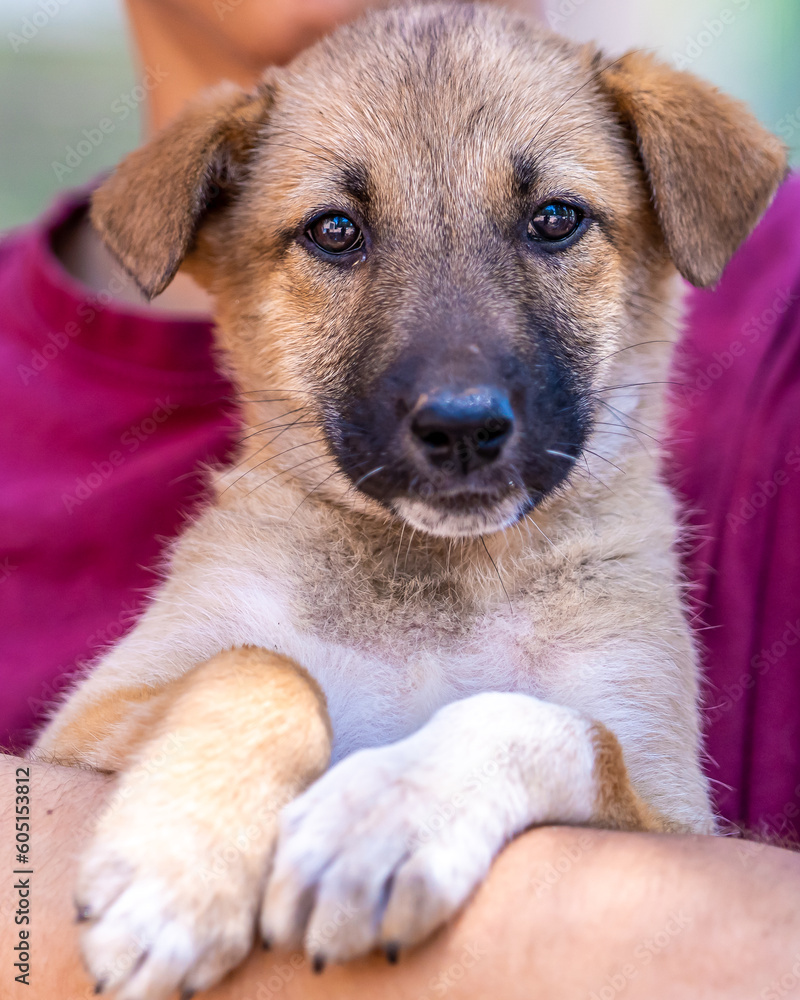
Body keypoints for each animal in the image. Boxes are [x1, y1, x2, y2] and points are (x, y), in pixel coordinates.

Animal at [32, 3, 788, 996]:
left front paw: (391, 813)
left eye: (555, 218)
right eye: (335, 231)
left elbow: (559, 725)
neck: (439, 581)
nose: (463, 428)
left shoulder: (665, 803)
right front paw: (176, 870)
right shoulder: (83, 725)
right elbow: (262, 665)